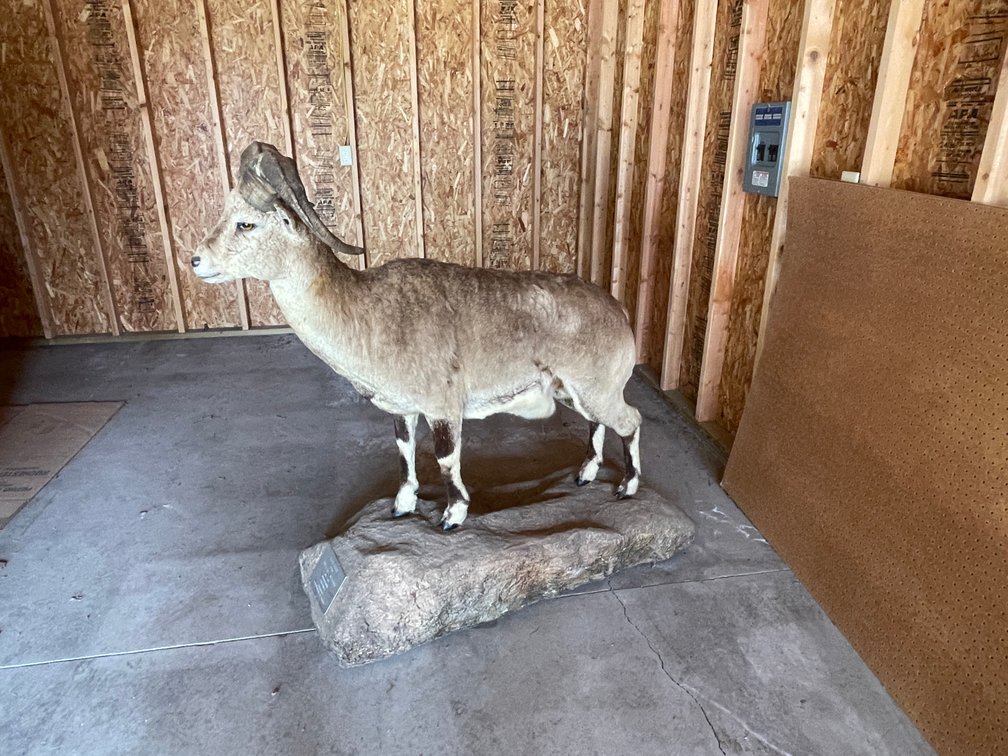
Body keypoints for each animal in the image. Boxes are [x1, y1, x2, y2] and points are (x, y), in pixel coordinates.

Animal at [191, 141, 641, 530]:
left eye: (246, 223)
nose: (196, 260)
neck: (370, 314)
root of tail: (618, 311)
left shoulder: (443, 406)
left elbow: (445, 458)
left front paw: (453, 516)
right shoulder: (402, 408)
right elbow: (404, 450)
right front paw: (403, 505)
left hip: (598, 389)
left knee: (630, 420)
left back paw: (627, 486)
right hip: (574, 391)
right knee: (597, 422)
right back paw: (585, 474)